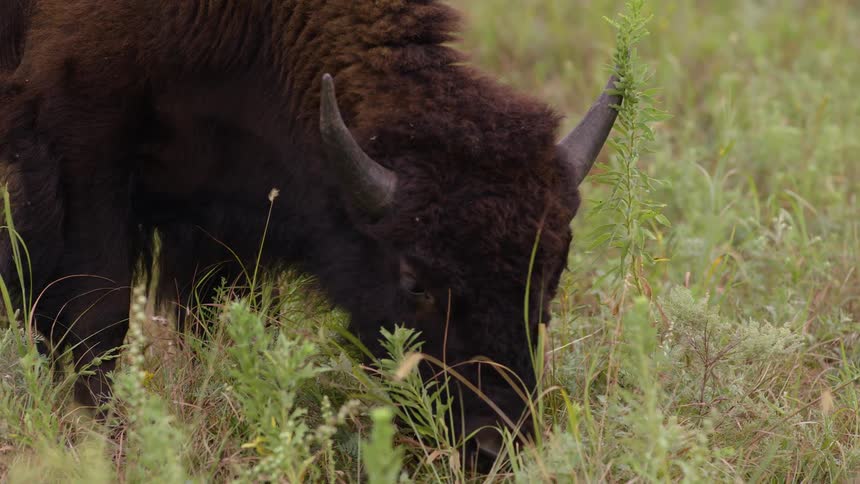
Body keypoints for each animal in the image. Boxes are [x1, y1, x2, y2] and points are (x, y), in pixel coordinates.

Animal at [0, 0, 619, 458]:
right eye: (415, 280)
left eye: (552, 277)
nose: (493, 446)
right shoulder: (84, 146)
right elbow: (98, 319)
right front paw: (112, 439)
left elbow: (218, 317)